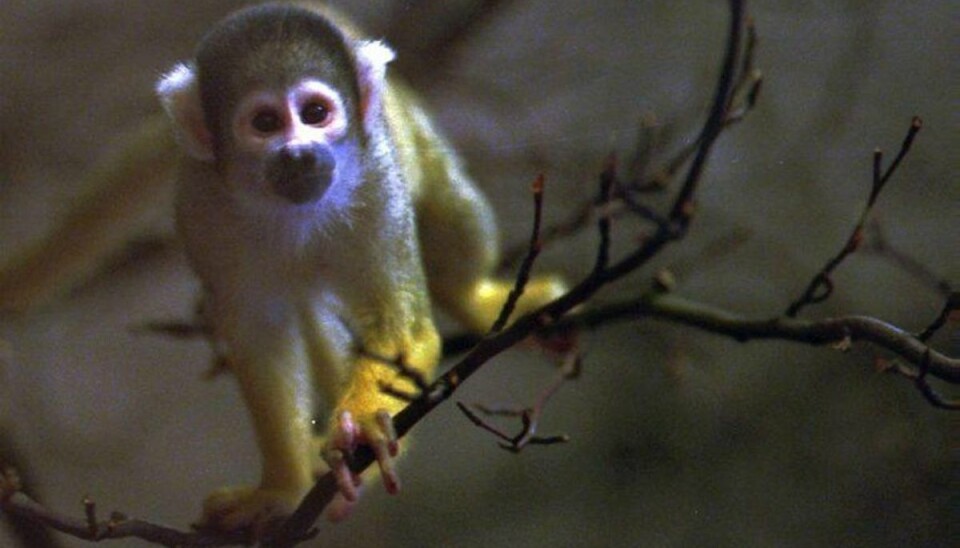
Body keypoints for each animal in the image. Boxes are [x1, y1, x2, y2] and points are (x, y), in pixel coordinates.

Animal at [0, 2, 568, 536]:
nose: (298, 153)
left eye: (315, 112)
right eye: (266, 123)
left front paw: (362, 422)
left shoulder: (378, 184)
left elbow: (400, 330)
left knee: (443, 196)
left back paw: (473, 297)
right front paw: (279, 490)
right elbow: (259, 338)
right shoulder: (202, 208)